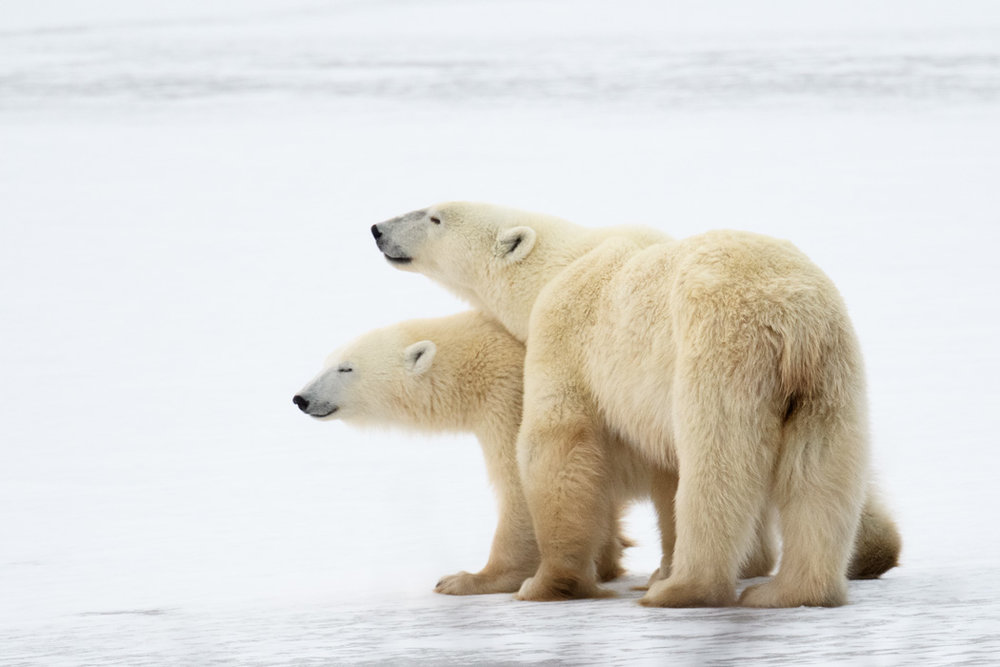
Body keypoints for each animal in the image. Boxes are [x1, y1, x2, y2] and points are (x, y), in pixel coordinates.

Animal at [371, 202, 901, 607]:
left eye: (435, 216)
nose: (378, 229)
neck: (565, 262)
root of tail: (791, 317)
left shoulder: (565, 328)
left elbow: (558, 439)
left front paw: (543, 583)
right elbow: (660, 468)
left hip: (719, 352)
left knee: (717, 465)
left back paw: (683, 589)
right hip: (829, 375)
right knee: (822, 473)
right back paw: (793, 591)